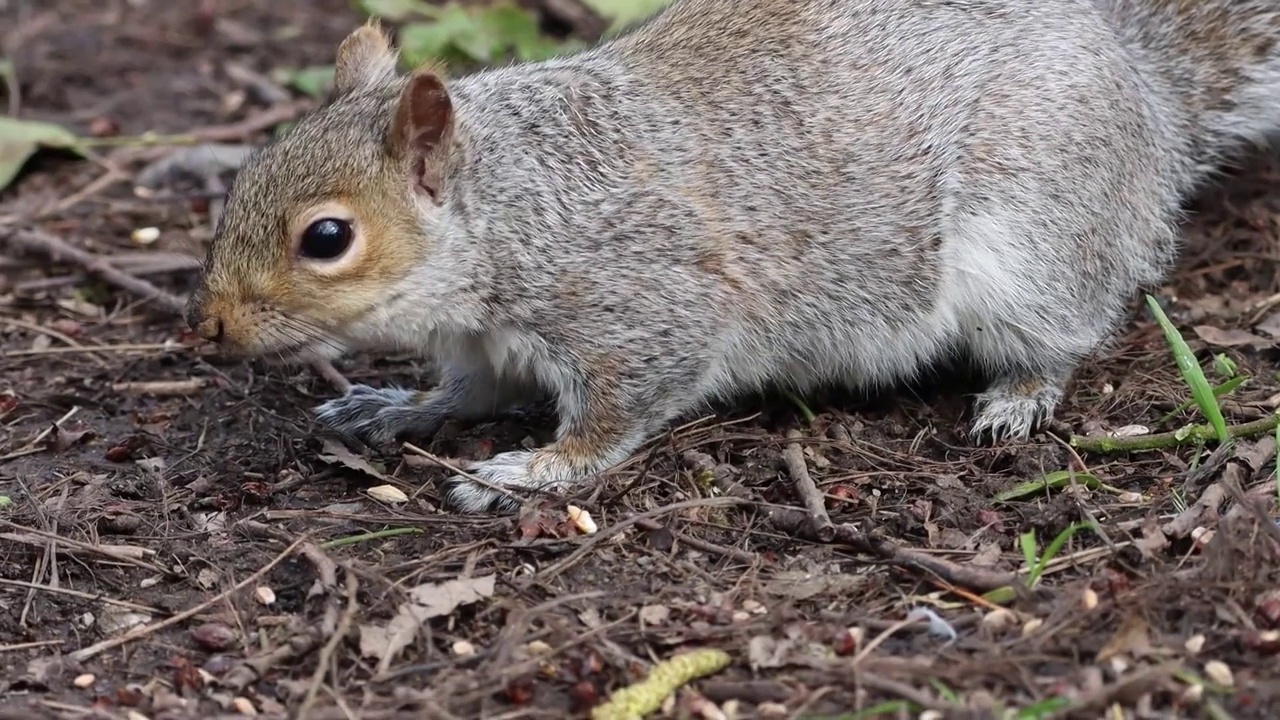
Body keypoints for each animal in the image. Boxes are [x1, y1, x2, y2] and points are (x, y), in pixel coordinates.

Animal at [185, 2, 1280, 512]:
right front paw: (394, 406)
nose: (213, 328)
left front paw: (531, 471)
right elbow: (462, 390)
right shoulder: (487, 344)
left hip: (1032, 238)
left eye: (327, 239)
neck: (513, 208)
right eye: (244, 177)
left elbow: (616, 415)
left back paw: (1019, 392)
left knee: (1069, 328)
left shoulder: (642, 308)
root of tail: (1146, 99)